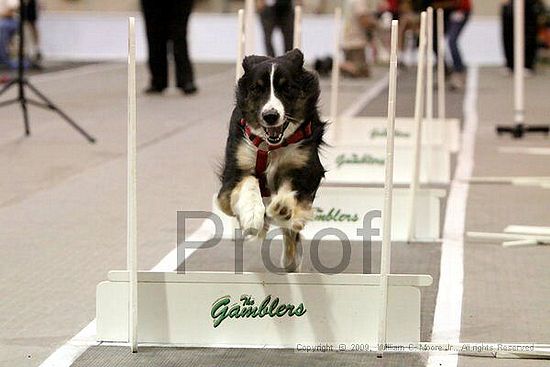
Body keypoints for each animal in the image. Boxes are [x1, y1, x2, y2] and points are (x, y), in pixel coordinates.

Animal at [217, 49, 328, 274]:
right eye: (256, 89)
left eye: (287, 88)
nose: (270, 116)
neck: (271, 147)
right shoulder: (233, 170)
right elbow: (247, 182)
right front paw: (252, 214)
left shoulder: (308, 167)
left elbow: (295, 188)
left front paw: (284, 207)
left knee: (291, 235)